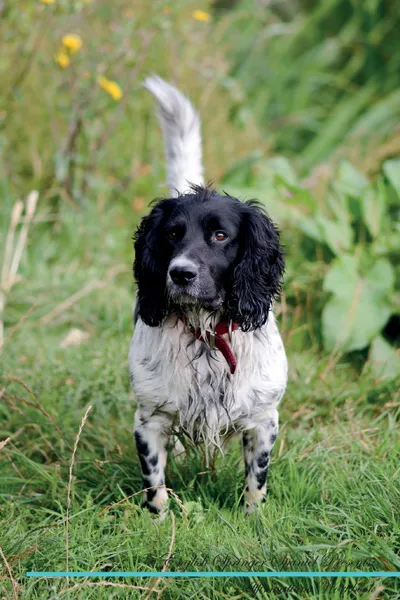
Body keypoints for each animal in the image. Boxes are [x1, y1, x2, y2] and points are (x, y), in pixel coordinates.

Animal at [129, 76, 288, 516]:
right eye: (171, 234)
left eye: (220, 235)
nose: (180, 273)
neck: (206, 335)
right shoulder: (148, 419)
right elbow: (155, 482)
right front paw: (159, 520)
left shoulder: (263, 419)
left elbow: (256, 480)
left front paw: (253, 519)